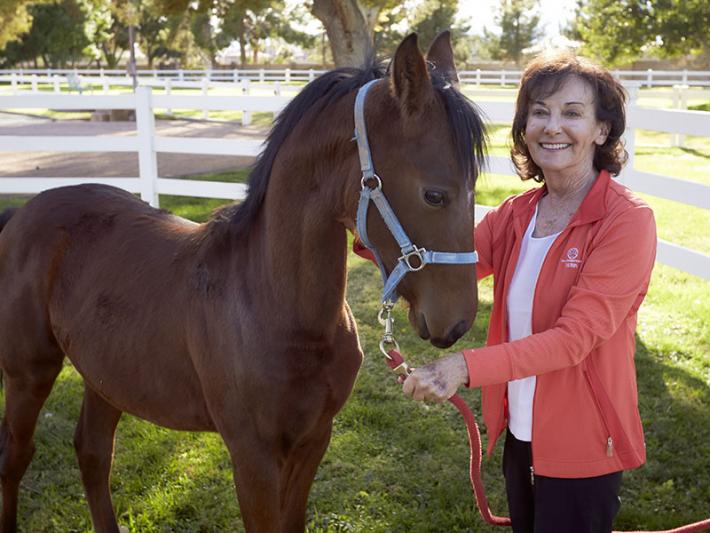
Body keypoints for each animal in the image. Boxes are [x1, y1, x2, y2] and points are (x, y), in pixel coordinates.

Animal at [0, 31, 486, 528]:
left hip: (105, 374)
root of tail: (22, 212)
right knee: (16, 456)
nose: (457, 322)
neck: (273, 306)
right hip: (28, 372)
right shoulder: (252, 456)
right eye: (434, 194)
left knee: (93, 453)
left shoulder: (314, 440)